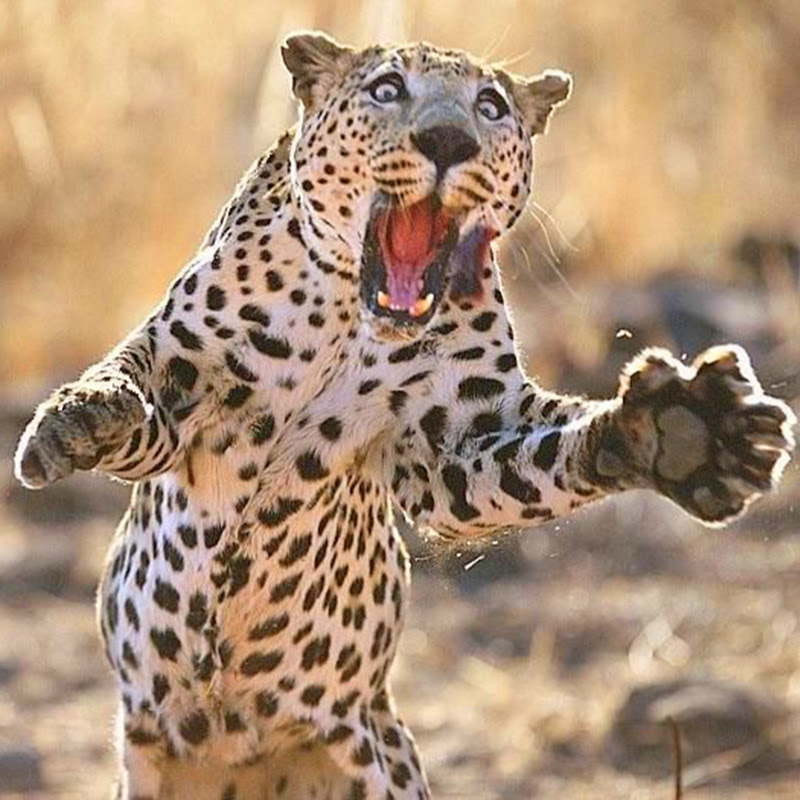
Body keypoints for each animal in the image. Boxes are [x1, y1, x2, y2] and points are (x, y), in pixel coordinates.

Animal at [13, 31, 796, 800]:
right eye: (387, 89)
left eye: (490, 105)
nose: (447, 141)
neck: (344, 319)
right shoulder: (182, 367)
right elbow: (127, 383)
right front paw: (73, 424)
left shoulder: (463, 436)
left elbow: (546, 454)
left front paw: (687, 433)